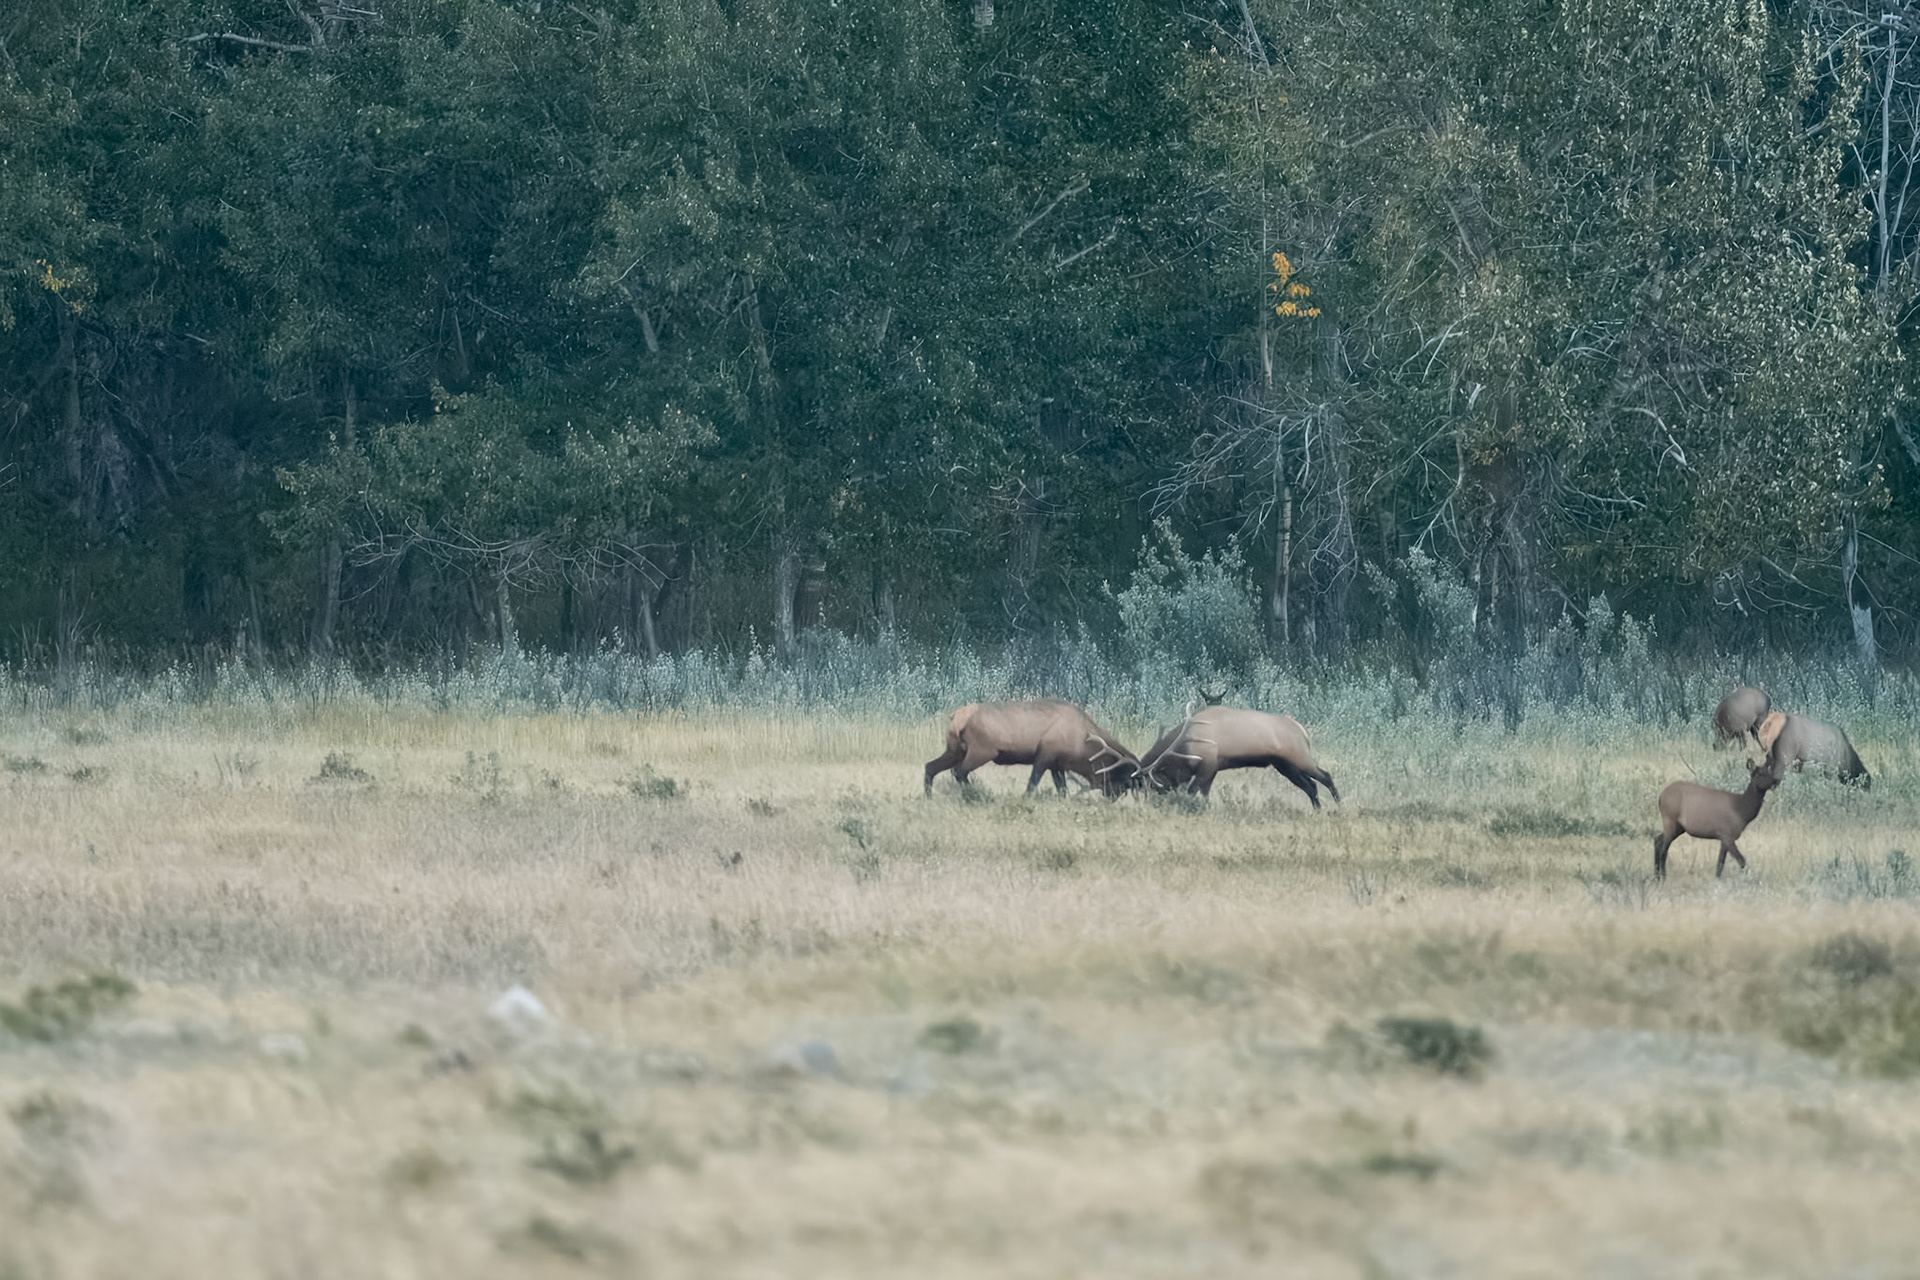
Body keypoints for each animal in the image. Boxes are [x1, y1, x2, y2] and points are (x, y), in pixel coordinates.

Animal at [923, 699, 1140, 798]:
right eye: (1123, 782)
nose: (1110, 798)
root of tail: (956, 718)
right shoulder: (1045, 755)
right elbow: (1032, 784)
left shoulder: (1057, 764)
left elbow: (1062, 789)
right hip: (981, 751)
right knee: (959, 772)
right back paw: (977, 795)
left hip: (954, 750)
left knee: (930, 766)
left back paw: (928, 797)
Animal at [1137, 704, 1339, 809]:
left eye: (1153, 786)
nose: (1149, 805)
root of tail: (1302, 730)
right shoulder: (1212, 769)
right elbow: (1204, 794)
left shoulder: (1207, 767)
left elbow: (1192, 792)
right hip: (1285, 765)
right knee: (1311, 785)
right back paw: (1318, 809)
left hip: (1299, 757)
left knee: (1326, 776)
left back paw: (1338, 805)